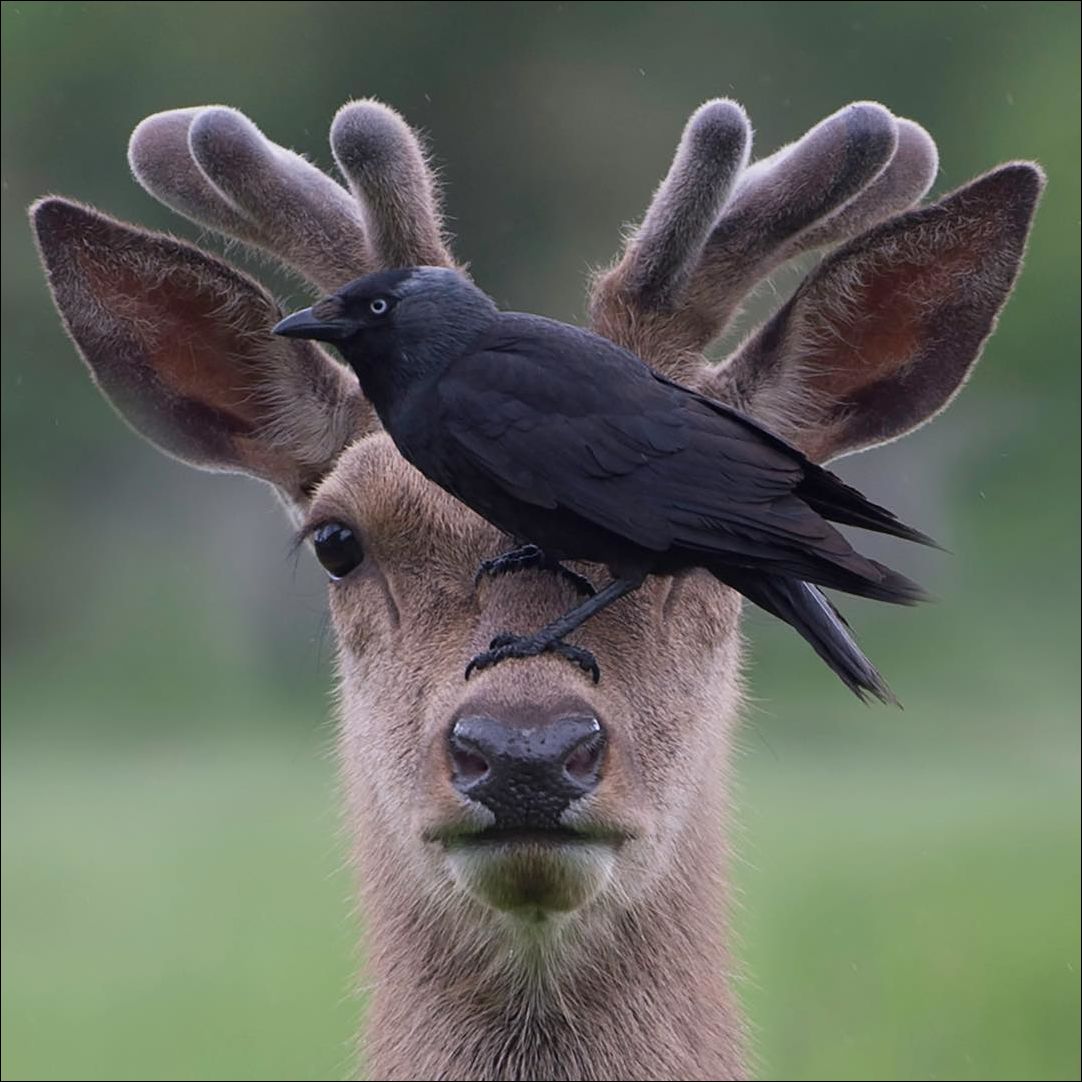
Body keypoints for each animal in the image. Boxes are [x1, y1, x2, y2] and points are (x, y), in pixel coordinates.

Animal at [30, 97, 1042, 1080]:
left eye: (378, 300)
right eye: (335, 542)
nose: (525, 754)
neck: (438, 376)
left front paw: (531, 626)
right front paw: (519, 567)